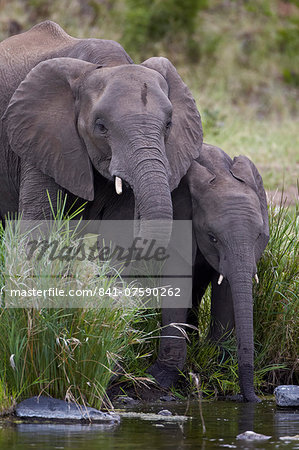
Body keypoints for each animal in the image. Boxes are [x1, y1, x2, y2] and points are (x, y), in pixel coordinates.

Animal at [151, 142, 270, 402]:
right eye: (212, 237)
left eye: (259, 236)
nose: (256, 399)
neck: (219, 169)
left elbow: (225, 288)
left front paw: (218, 366)